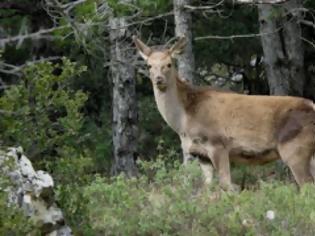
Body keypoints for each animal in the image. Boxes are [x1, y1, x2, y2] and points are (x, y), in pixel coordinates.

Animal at [133, 35, 315, 190]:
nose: (159, 79)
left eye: (169, 64)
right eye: (149, 65)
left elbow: (226, 185)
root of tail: (311, 105)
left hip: (294, 149)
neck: (183, 124)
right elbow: (208, 188)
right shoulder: (201, 155)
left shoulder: (217, 144)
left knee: (306, 186)